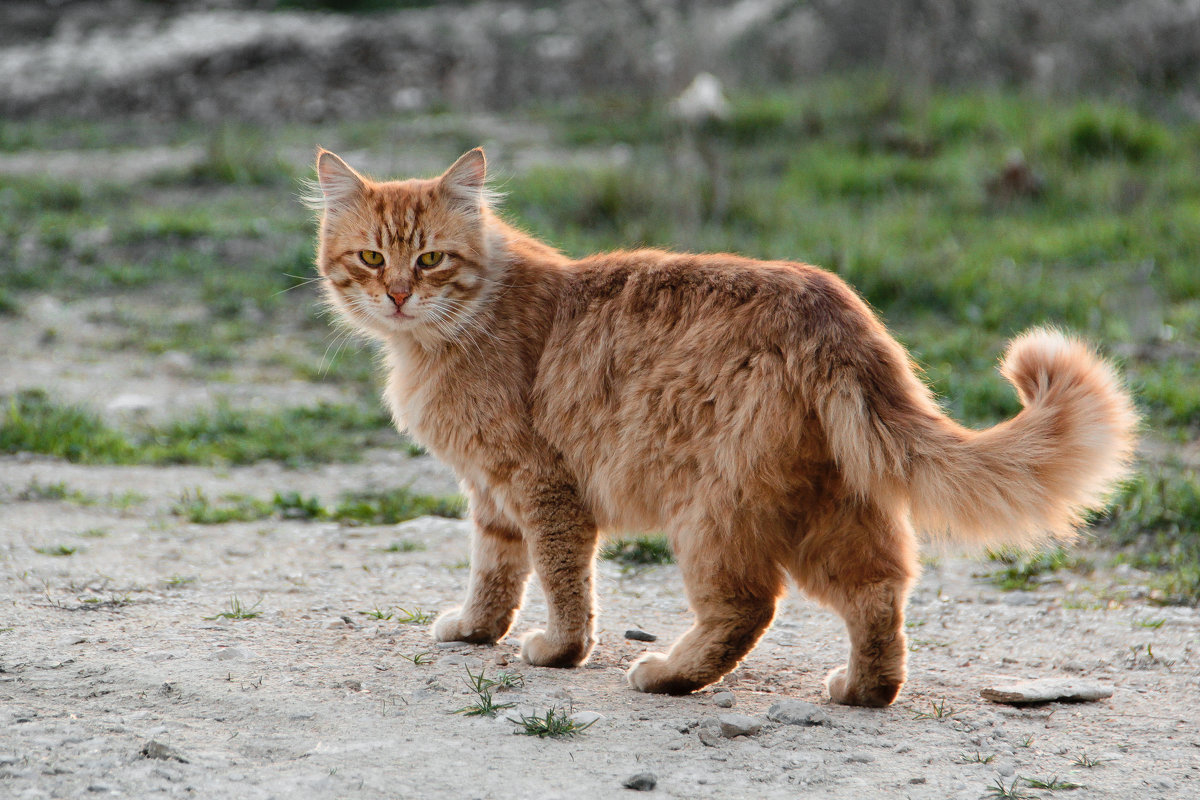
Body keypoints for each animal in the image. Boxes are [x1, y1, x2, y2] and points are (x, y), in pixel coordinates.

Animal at [309, 145, 1132, 705]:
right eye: (372, 257)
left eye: (431, 261)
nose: (398, 295)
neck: (449, 333)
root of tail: (831, 306)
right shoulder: (490, 493)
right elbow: (495, 572)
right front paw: (478, 631)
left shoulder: (541, 486)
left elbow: (561, 583)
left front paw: (559, 651)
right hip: (832, 505)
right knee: (879, 591)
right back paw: (863, 690)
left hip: (712, 512)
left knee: (748, 606)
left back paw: (668, 674)